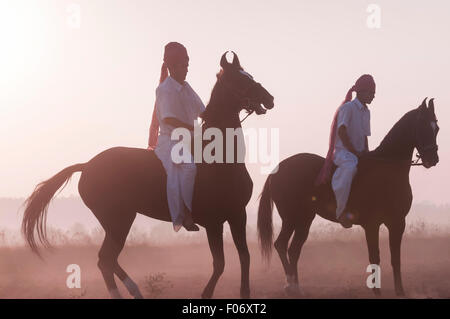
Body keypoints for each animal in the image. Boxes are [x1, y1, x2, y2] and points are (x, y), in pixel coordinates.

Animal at [22, 52, 274, 300]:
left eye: (249, 75)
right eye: (238, 80)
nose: (269, 99)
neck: (221, 160)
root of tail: (87, 166)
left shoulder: (237, 215)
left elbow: (245, 257)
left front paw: (245, 294)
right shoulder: (214, 222)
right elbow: (220, 264)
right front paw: (206, 294)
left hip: (118, 222)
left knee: (108, 260)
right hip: (118, 221)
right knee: (106, 259)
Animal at [258, 98, 438, 298]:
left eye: (436, 128)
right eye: (423, 126)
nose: (433, 159)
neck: (387, 171)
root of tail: (278, 168)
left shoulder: (398, 223)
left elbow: (395, 258)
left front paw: (400, 291)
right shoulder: (372, 225)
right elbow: (375, 256)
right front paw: (376, 291)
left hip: (304, 219)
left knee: (294, 249)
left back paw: (297, 287)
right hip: (291, 218)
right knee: (281, 245)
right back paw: (290, 286)